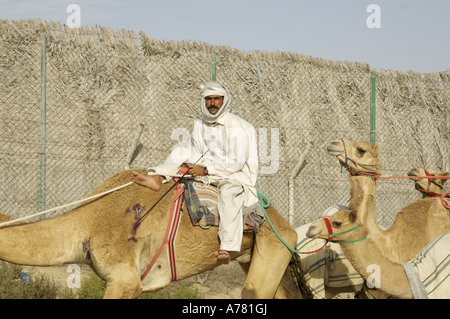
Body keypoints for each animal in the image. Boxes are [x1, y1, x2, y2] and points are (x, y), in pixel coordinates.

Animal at [0, 170, 298, 300]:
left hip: (274, 246)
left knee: (252, 291)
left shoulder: (125, 281)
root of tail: (286, 225)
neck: (89, 225)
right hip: (258, 256)